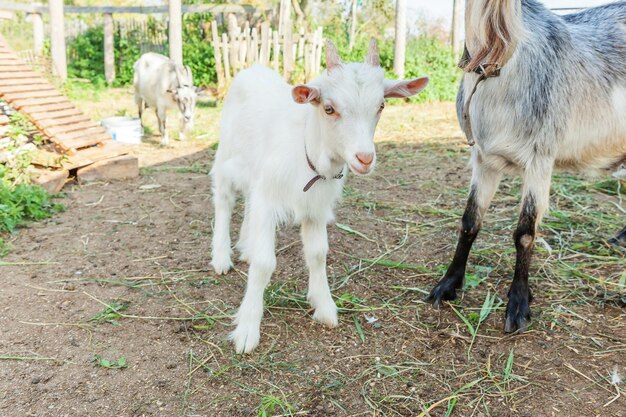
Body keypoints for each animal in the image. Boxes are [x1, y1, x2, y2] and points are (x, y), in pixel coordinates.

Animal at [426, 0, 620, 332]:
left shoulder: (540, 159)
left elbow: (525, 233)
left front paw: (518, 303)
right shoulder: (484, 159)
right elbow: (469, 222)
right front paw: (448, 284)